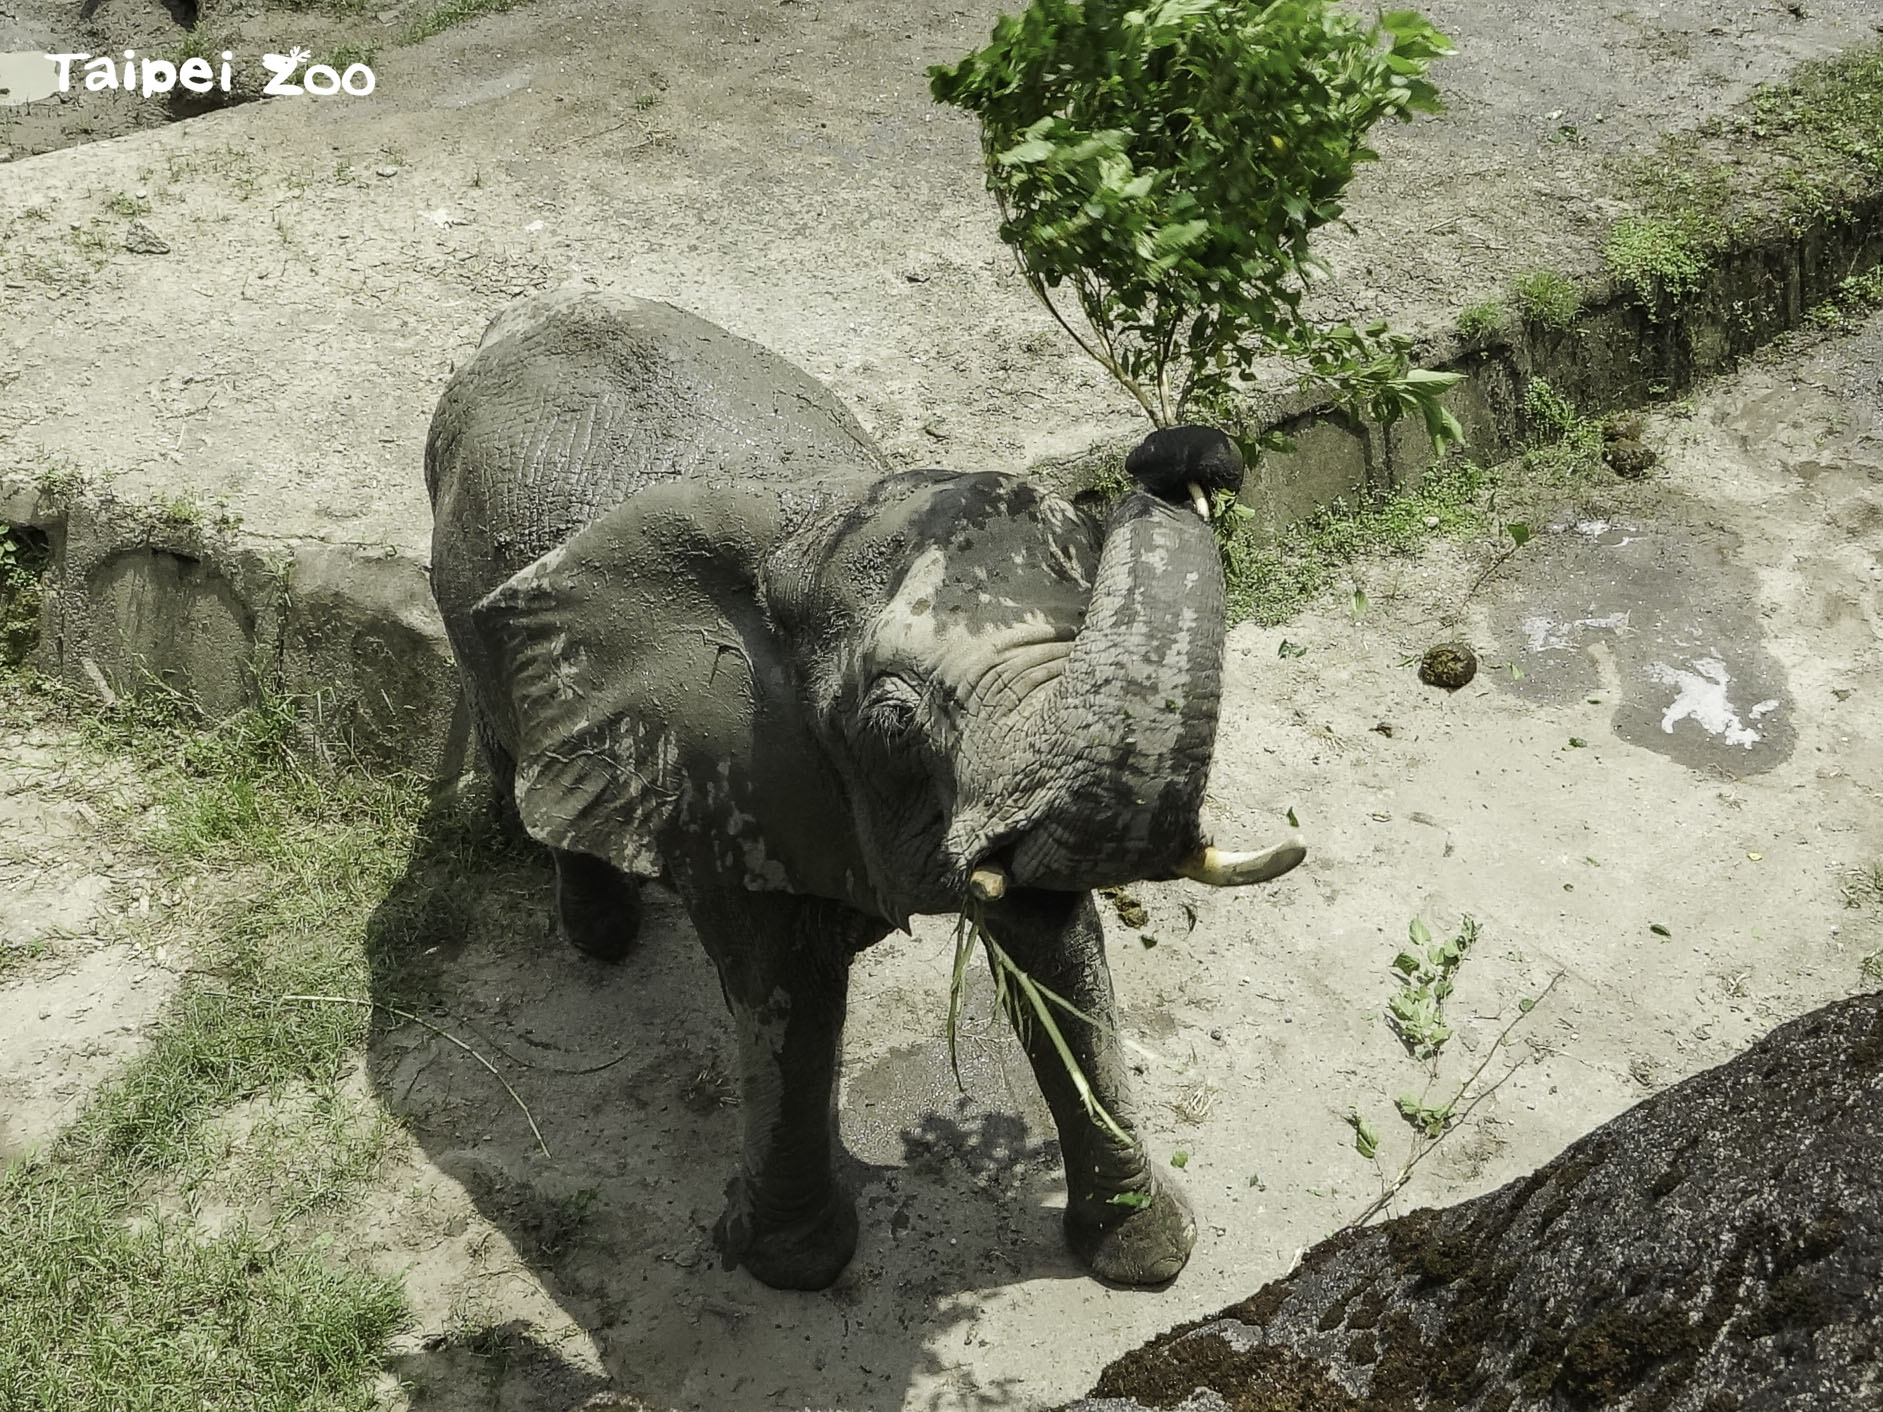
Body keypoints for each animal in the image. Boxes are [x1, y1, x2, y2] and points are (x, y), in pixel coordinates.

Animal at [424, 290, 1304, 1291]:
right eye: (890, 724)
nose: (1179, 453)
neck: (812, 521)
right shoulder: (729, 768)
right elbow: (790, 992)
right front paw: (790, 1267)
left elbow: (1054, 948)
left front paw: (1143, 1257)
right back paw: (600, 935)